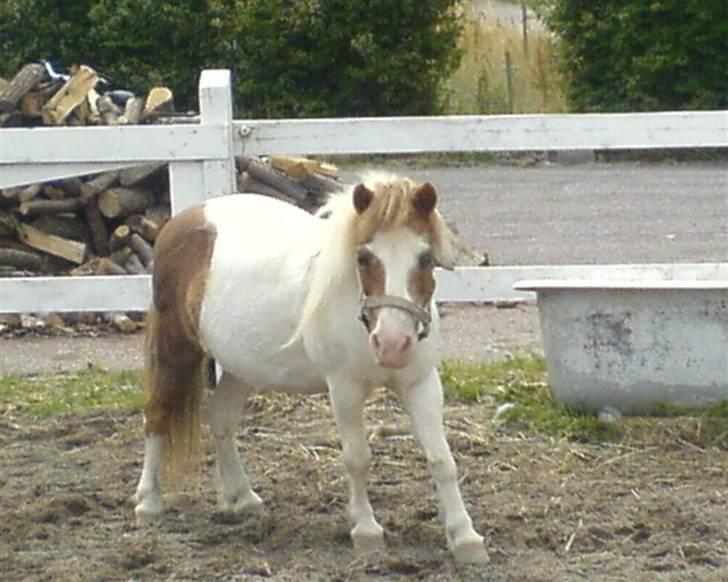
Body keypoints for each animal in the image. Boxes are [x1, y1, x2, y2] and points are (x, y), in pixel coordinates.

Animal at [132, 172, 489, 564]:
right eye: (363, 256)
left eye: (425, 258)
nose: (392, 344)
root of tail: (185, 218)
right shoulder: (344, 389)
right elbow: (358, 458)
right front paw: (366, 531)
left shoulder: (421, 384)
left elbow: (442, 460)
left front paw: (465, 537)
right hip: (176, 349)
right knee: (157, 415)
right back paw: (149, 503)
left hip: (242, 366)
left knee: (221, 418)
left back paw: (242, 498)